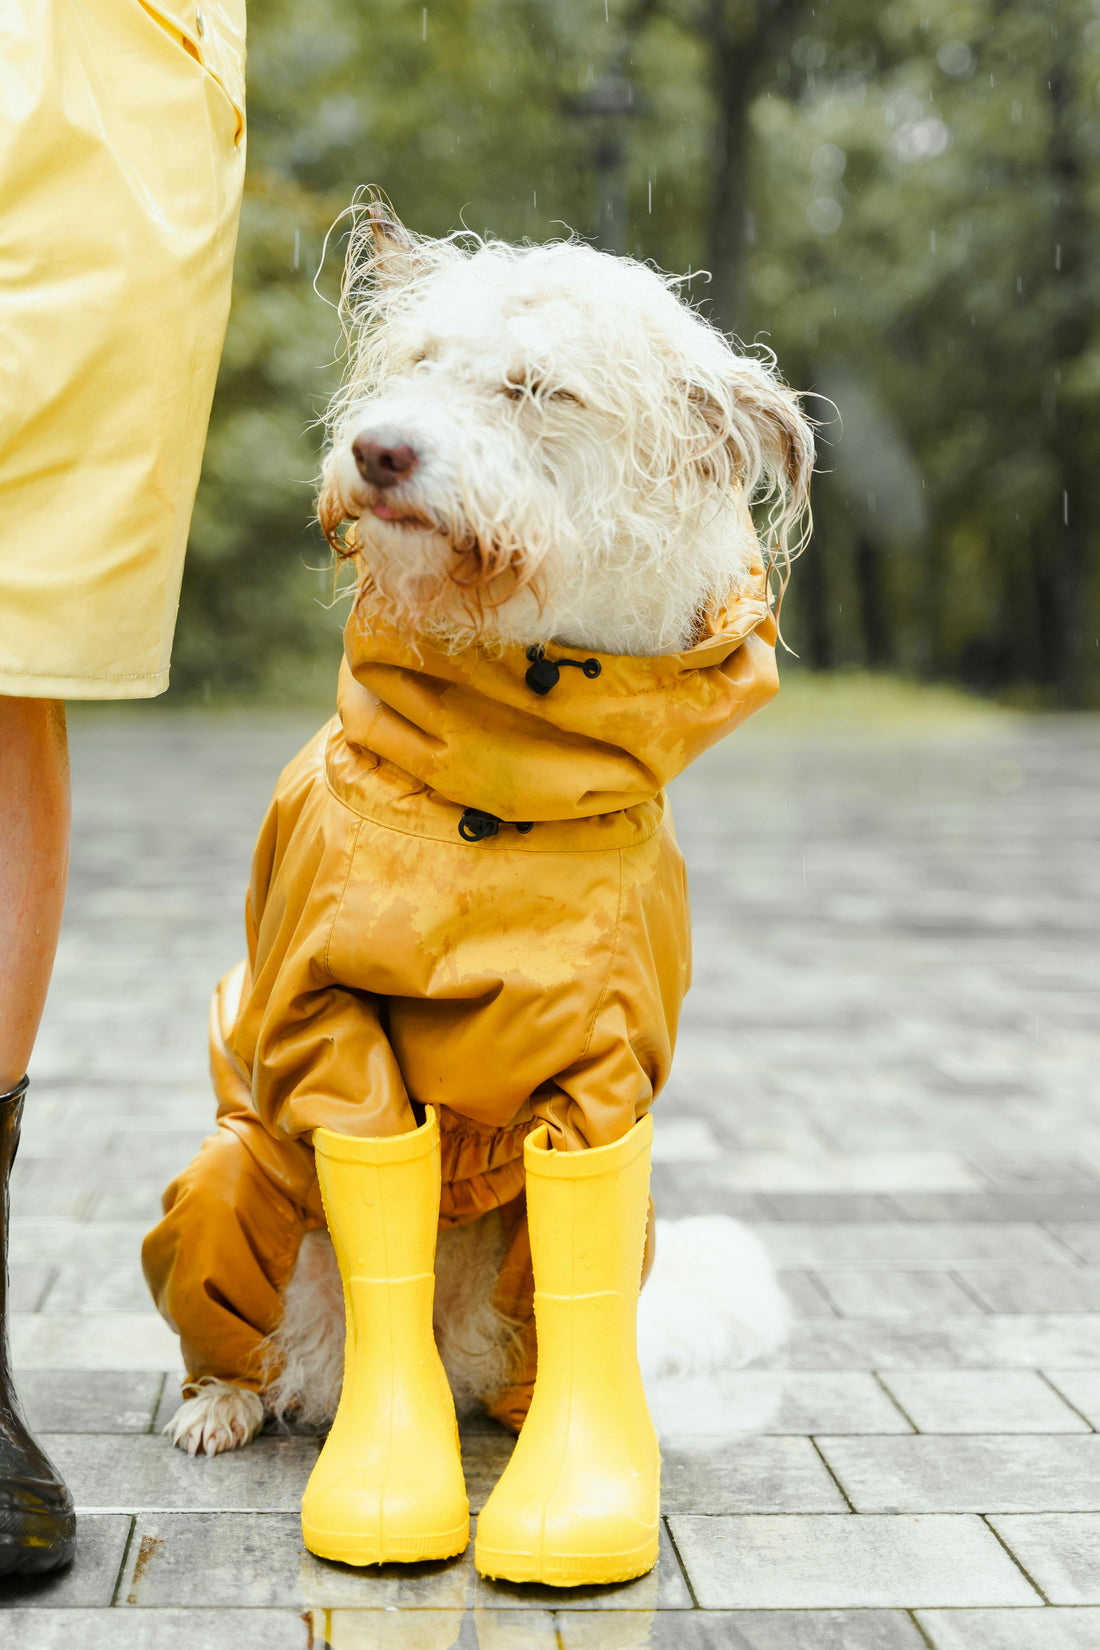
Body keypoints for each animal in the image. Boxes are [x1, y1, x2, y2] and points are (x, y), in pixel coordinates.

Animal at [172, 199, 808, 1452]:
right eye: (417, 365)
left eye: (537, 390)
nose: (379, 451)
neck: (510, 773)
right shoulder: (326, 1019)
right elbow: (375, 1166)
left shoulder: (606, 1078)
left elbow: (572, 1256)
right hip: (237, 1166)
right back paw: (231, 1396)